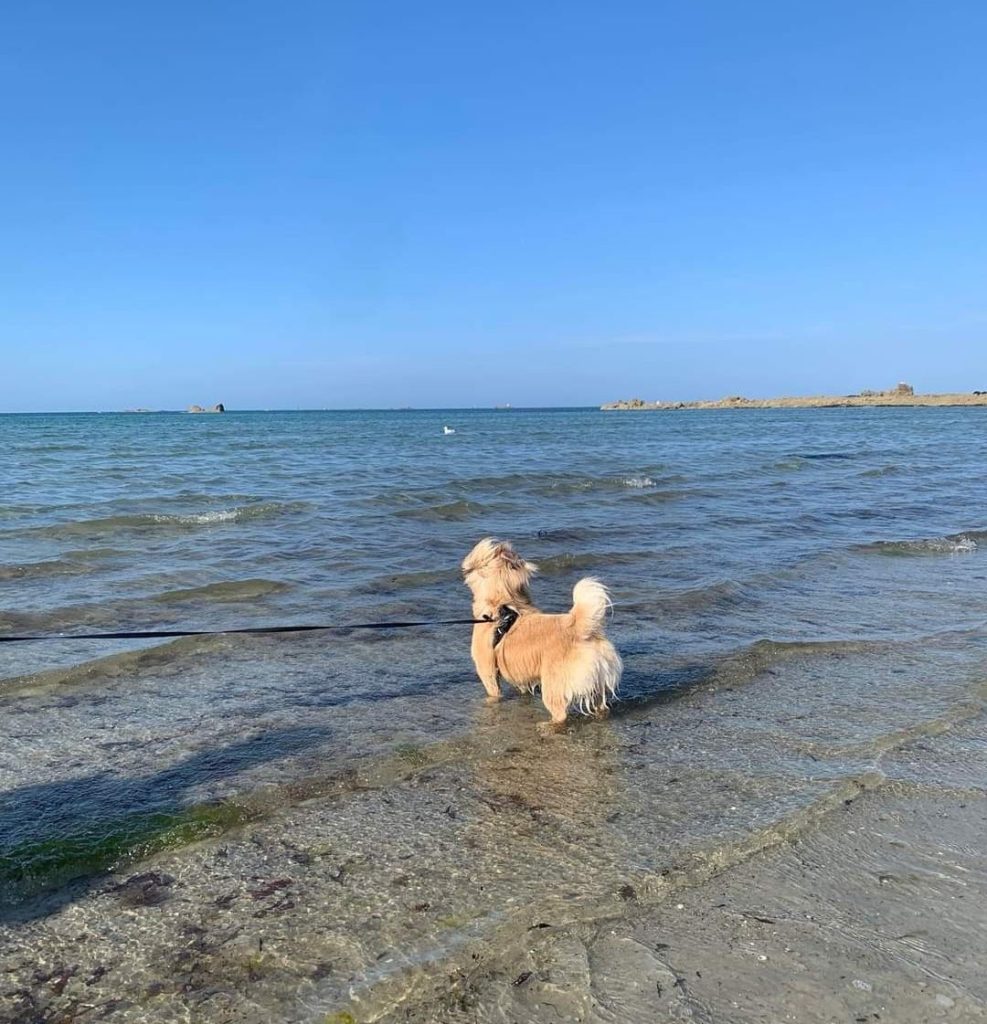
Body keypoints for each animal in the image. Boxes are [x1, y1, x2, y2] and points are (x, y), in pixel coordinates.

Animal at [460, 540, 618, 733]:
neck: (503, 602)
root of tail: (580, 629)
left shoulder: (487, 671)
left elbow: (494, 693)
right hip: (598, 683)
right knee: (602, 707)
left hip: (553, 686)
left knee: (560, 714)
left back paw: (546, 726)